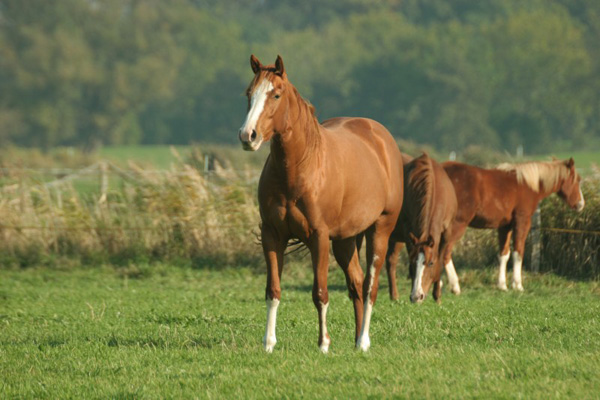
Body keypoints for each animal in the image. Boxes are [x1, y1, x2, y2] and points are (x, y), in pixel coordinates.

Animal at [239, 55, 404, 354]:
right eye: (249, 94)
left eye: (276, 94)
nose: (248, 136)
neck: (300, 168)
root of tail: (382, 138)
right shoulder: (272, 235)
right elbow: (273, 290)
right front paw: (269, 343)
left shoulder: (319, 237)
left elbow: (320, 293)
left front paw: (323, 344)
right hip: (345, 240)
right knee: (356, 282)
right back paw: (356, 340)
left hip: (380, 231)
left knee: (370, 286)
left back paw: (364, 340)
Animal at [438, 159, 584, 294]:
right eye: (577, 179)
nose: (581, 204)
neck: (527, 184)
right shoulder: (522, 221)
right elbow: (518, 253)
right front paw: (517, 285)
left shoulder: (505, 226)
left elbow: (504, 254)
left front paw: (502, 285)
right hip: (457, 226)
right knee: (445, 253)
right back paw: (454, 286)